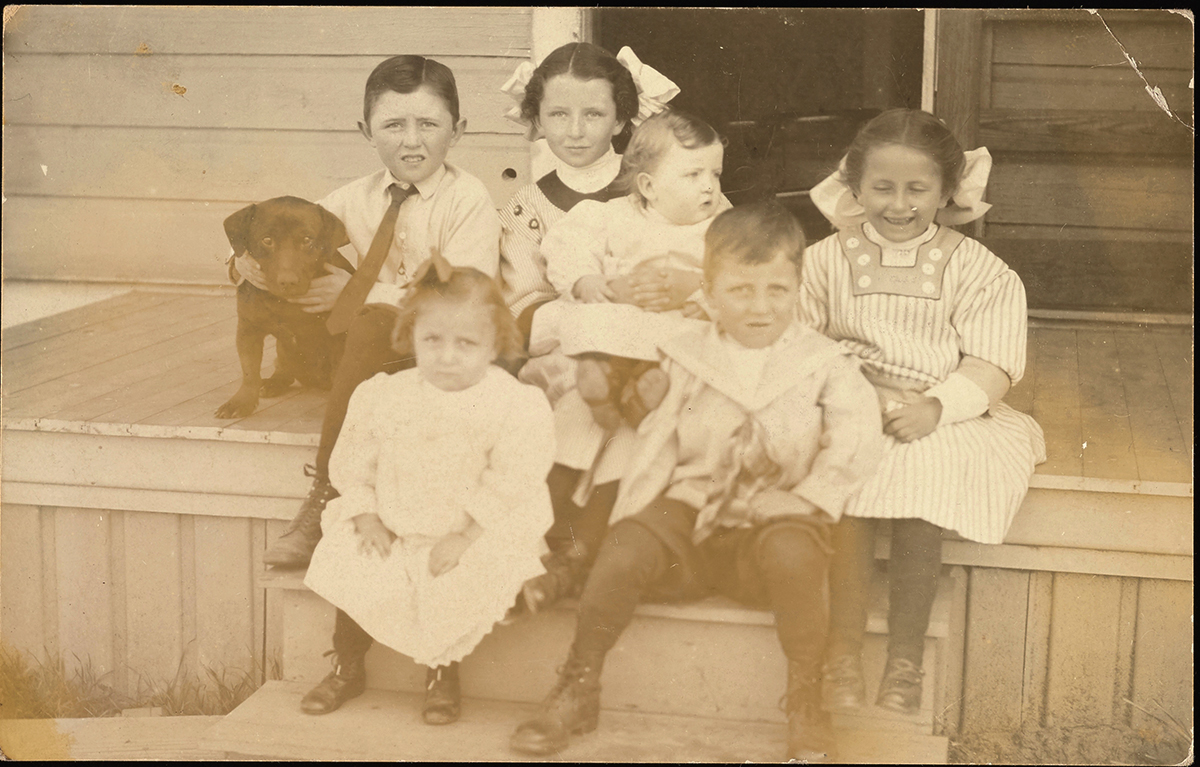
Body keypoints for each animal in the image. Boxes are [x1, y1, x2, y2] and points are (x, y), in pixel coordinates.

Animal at [218, 194, 352, 417]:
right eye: (267, 240)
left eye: (307, 240)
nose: (288, 281)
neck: (284, 302)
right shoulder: (248, 329)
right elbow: (249, 371)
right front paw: (241, 402)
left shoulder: (340, 339)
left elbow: (342, 380)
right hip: (284, 351)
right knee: (283, 368)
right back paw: (273, 383)